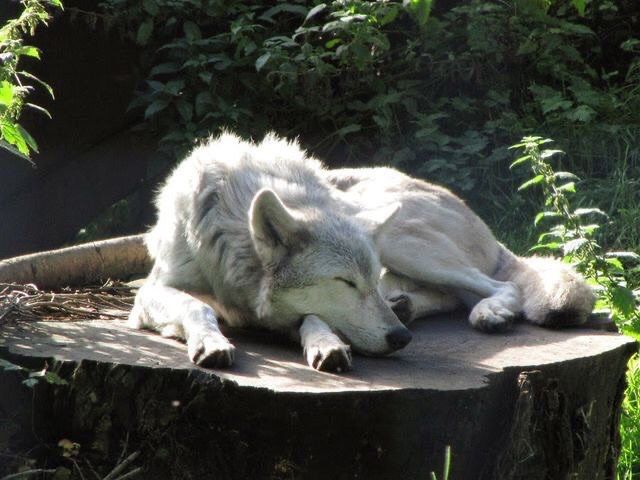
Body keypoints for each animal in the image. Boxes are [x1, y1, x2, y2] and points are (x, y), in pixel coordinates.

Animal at [129, 133, 410, 374]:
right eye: (346, 282)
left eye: (372, 281)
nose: (402, 336)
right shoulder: (151, 291)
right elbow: (196, 305)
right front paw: (211, 342)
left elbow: (314, 317)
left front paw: (327, 344)